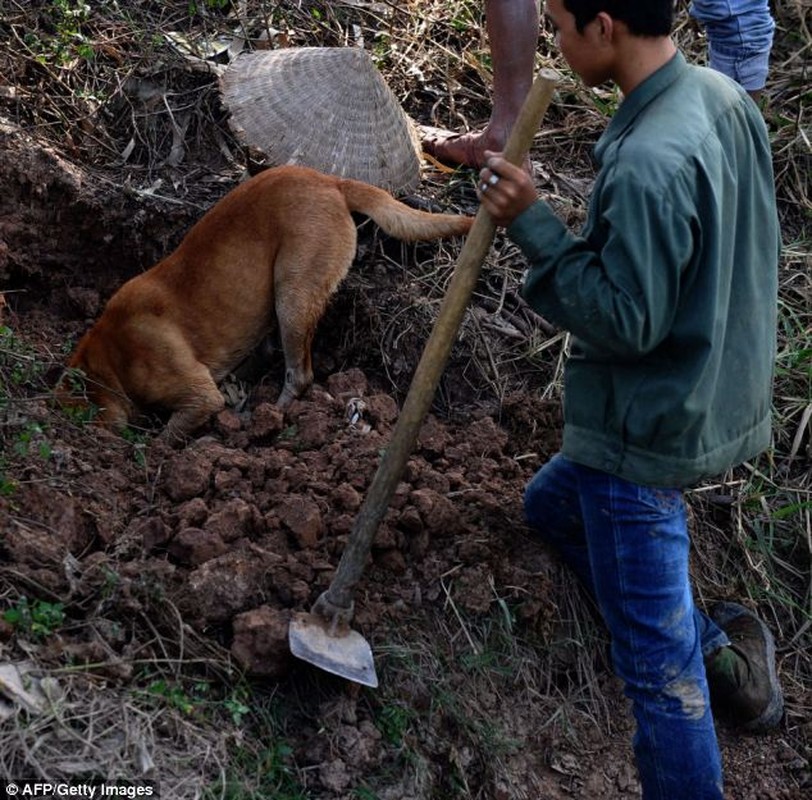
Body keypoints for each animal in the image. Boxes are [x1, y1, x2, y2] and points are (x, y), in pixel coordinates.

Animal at [65, 164, 476, 438]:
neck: (110, 353)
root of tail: (331, 182)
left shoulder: (197, 396)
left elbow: (169, 436)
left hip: (293, 296)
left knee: (300, 374)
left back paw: (267, 416)